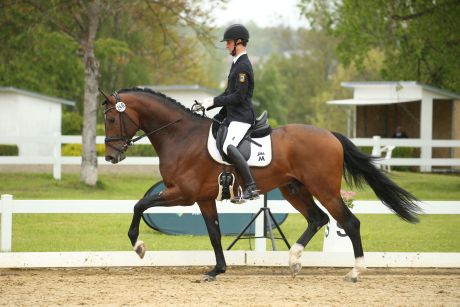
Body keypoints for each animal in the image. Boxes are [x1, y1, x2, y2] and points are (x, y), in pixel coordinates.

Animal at [100, 88, 420, 282]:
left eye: (112, 118)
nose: (111, 156)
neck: (181, 136)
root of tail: (330, 135)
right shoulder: (203, 198)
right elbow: (214, 234)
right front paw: (216, 270)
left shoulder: (183, 194)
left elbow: (140, 204)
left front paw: (138, 246)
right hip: (295, 189)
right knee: (318, 219)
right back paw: (294, 260)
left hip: (325, 189)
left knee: (348, 222)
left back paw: (355, 271)